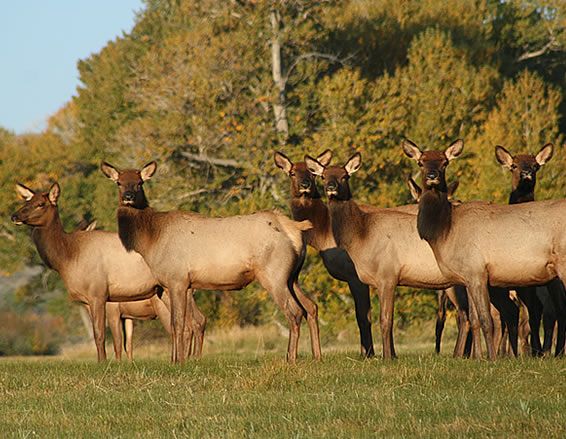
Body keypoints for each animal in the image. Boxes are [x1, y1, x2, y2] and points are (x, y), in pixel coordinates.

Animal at [10, 181, 209, 360]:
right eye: (26, 201)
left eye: (40, 204)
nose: (14, 216)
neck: (69, 258)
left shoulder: (99, 293)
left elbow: (102, 336)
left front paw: (103, 363)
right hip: (167, 292)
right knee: (194, 322)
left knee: (190, 324)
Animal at [100, 162, 322, 364]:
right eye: (119, 183)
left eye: (139, 183)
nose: (128, 197)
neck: (151, 239)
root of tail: (294, 228)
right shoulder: (170, 285)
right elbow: (177, 324)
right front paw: (175, 359)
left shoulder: (177, 279)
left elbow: (179, 323)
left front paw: (179, 361)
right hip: (292, 277)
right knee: (310, 306)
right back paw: (315, 355)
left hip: (273, 274)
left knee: (294, 312)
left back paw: (290, 358)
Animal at [276, 150, 378, 358]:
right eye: (292, 172)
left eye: (312, 173)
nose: (305, 184)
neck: (323, 235)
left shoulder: (355, 275)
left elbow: (363, 317)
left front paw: (367, 354)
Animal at [406, 139, 566, 360]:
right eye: (420, 162)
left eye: (445, 162)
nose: (432, 176)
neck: (445, 231)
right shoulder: (468, 276)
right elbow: (475, 319)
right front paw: (480, 357)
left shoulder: (476, 270)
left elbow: (485, 319)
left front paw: (491, 357)